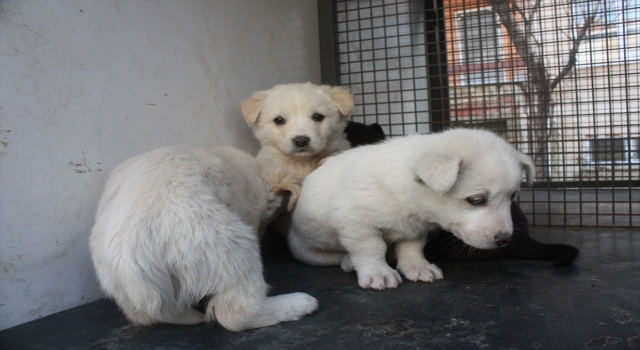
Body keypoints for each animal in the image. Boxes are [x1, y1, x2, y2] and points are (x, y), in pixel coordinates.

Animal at [288, 129, 536, 290]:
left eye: (512, 196)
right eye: (476, 200)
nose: (504, 240)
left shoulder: (415, 229)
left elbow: (412, 249)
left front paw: (418, 267)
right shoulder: (356, 224)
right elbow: (372, 248)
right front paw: (378, 272)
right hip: (311, 253)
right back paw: (350, 261)